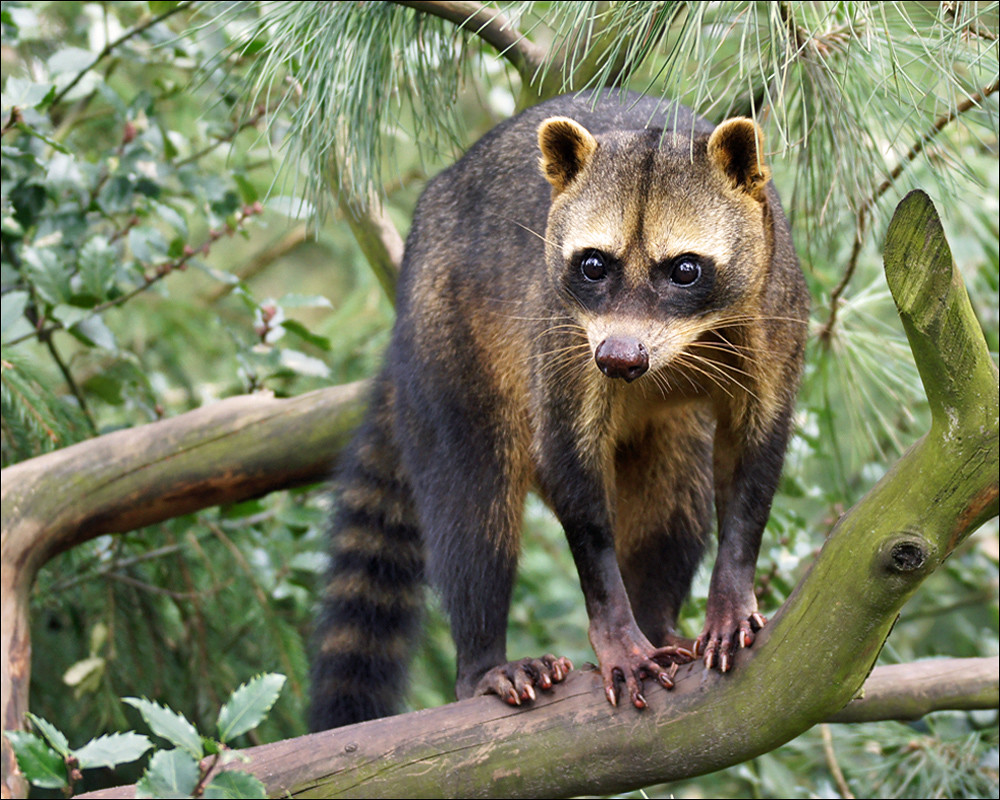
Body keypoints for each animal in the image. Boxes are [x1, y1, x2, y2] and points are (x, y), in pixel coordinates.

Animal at [309, 90, 809, 730]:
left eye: (685, 268)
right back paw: (483, 659)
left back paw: (656, 618)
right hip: (447, 336)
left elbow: (754, 450)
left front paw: (730, 589)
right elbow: (570, 466)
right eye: (594, 264)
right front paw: (614, 629)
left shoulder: (775, 312)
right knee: (475, 506)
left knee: (674, 498)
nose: (619, 358)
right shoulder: (562, 332)